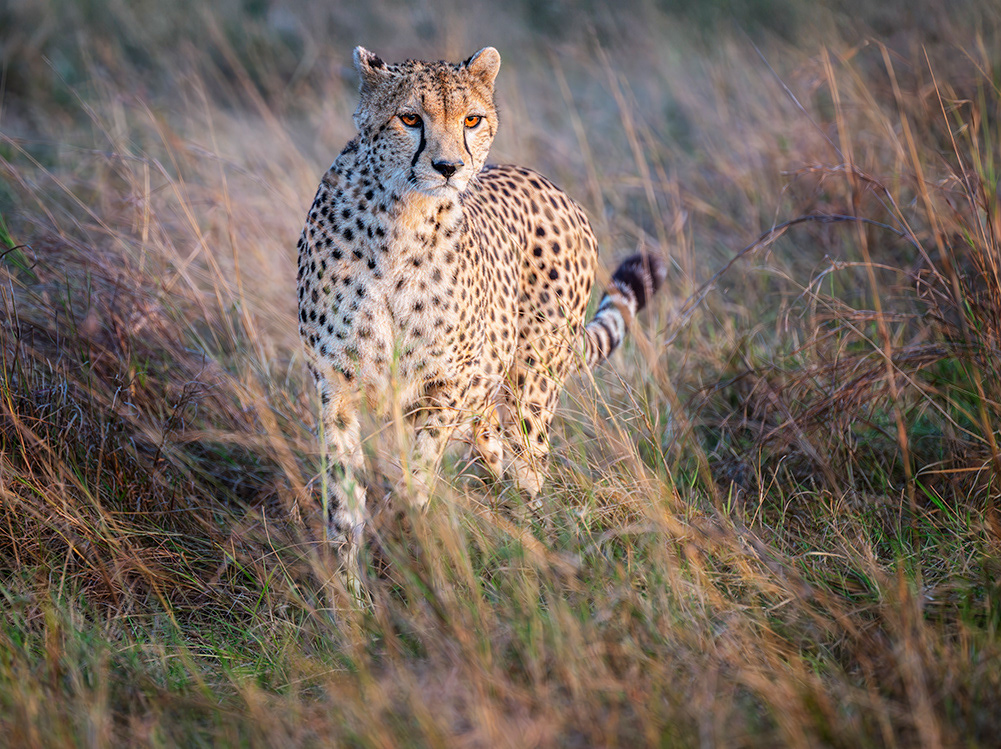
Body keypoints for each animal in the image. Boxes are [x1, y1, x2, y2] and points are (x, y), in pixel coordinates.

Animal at [296, 46, 665, 593]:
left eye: (471, 119)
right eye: (410, 118)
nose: (449, 167)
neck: (400, 219)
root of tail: (551, 186)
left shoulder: (444, 387)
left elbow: (414, 479)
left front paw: (402, 539)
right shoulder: (335, 387)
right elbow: (344, 501)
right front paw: (349, 598)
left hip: (530, 386)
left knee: (530, 466)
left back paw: (535, 550)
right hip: (483, 406)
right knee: (500, 457)